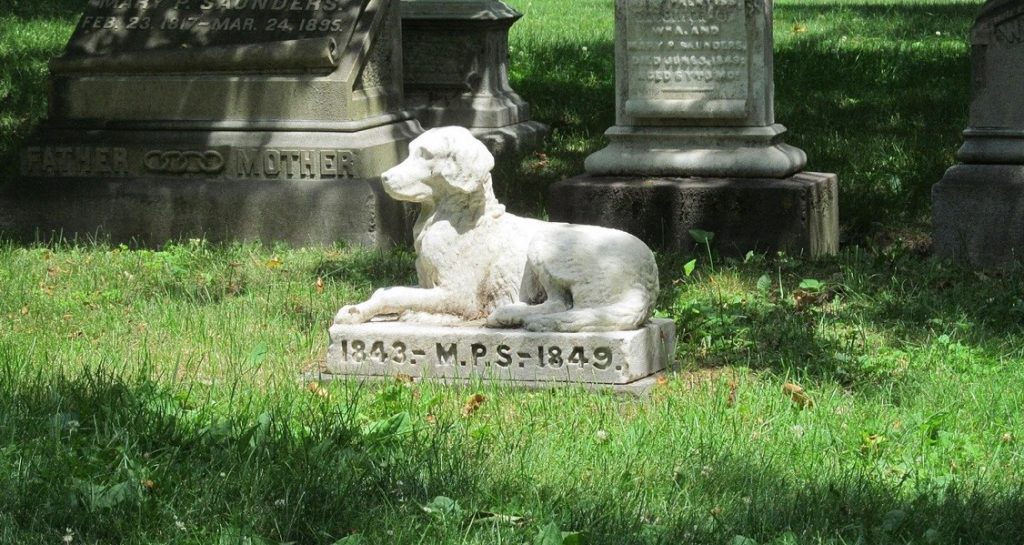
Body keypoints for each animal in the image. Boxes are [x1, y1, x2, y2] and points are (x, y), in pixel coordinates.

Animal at [331, 127, 659, 331]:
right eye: (411, 151)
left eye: (425, 154)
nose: (384, 177)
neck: (455, 219)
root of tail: (647, 279)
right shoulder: (428, 286)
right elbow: (388, 291)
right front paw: (357, 312)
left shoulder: (459, 295)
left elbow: (395, 294)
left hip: (546, 240)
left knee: (564, 305)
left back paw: (509, 315)